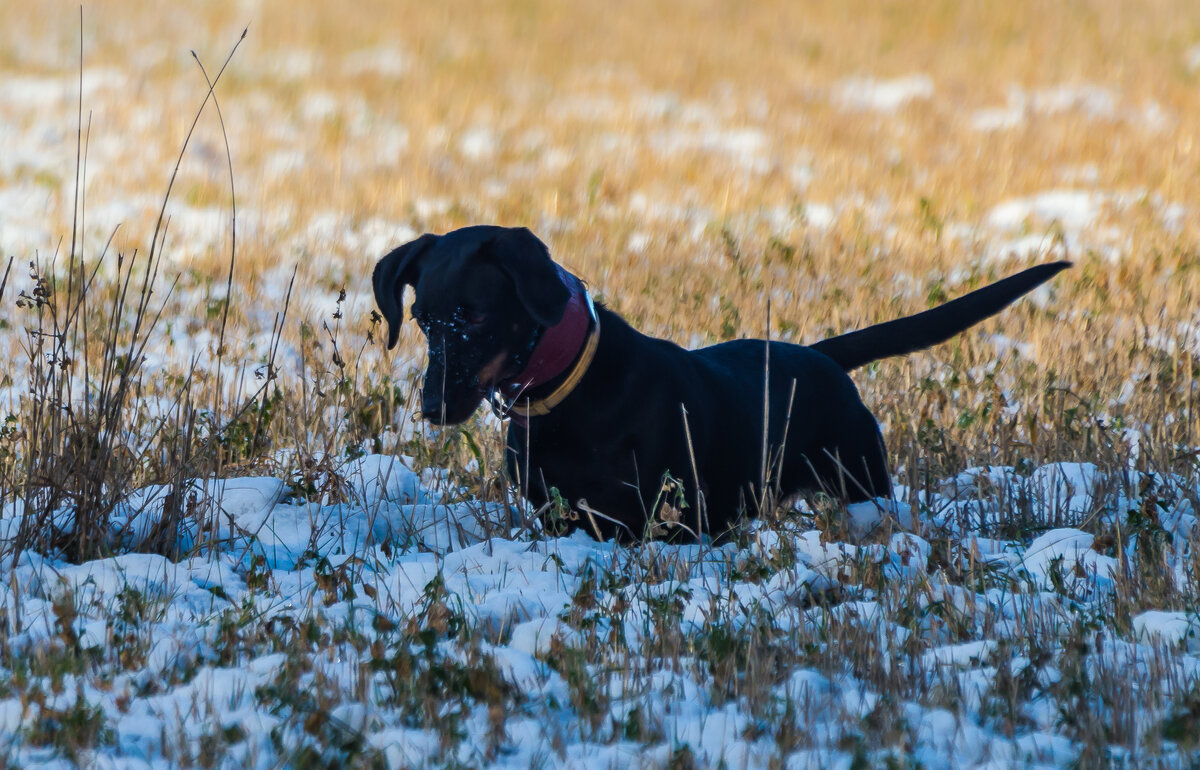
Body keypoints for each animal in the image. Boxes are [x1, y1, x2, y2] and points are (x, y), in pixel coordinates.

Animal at [374, 225, 1070, 539]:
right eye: (422, 318)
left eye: (475, 316)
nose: (432, 407)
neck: (569, 390)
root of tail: (822, 358)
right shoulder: (556, 513)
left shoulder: (638, 522)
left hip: (861, 482)